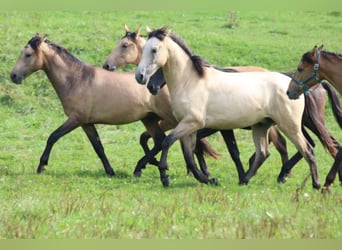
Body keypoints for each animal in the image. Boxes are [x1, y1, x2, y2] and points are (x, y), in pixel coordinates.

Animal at [10, 33, 220, 178]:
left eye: (28, 54)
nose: (13, 76)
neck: (77, 79)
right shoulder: (86, 123)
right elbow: (98, 147)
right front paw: (110, 170)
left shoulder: (75, 119)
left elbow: (52, 137)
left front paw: (41, 166)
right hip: (150, 119)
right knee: (161, 140)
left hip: (173, 119)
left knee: (185, 142)